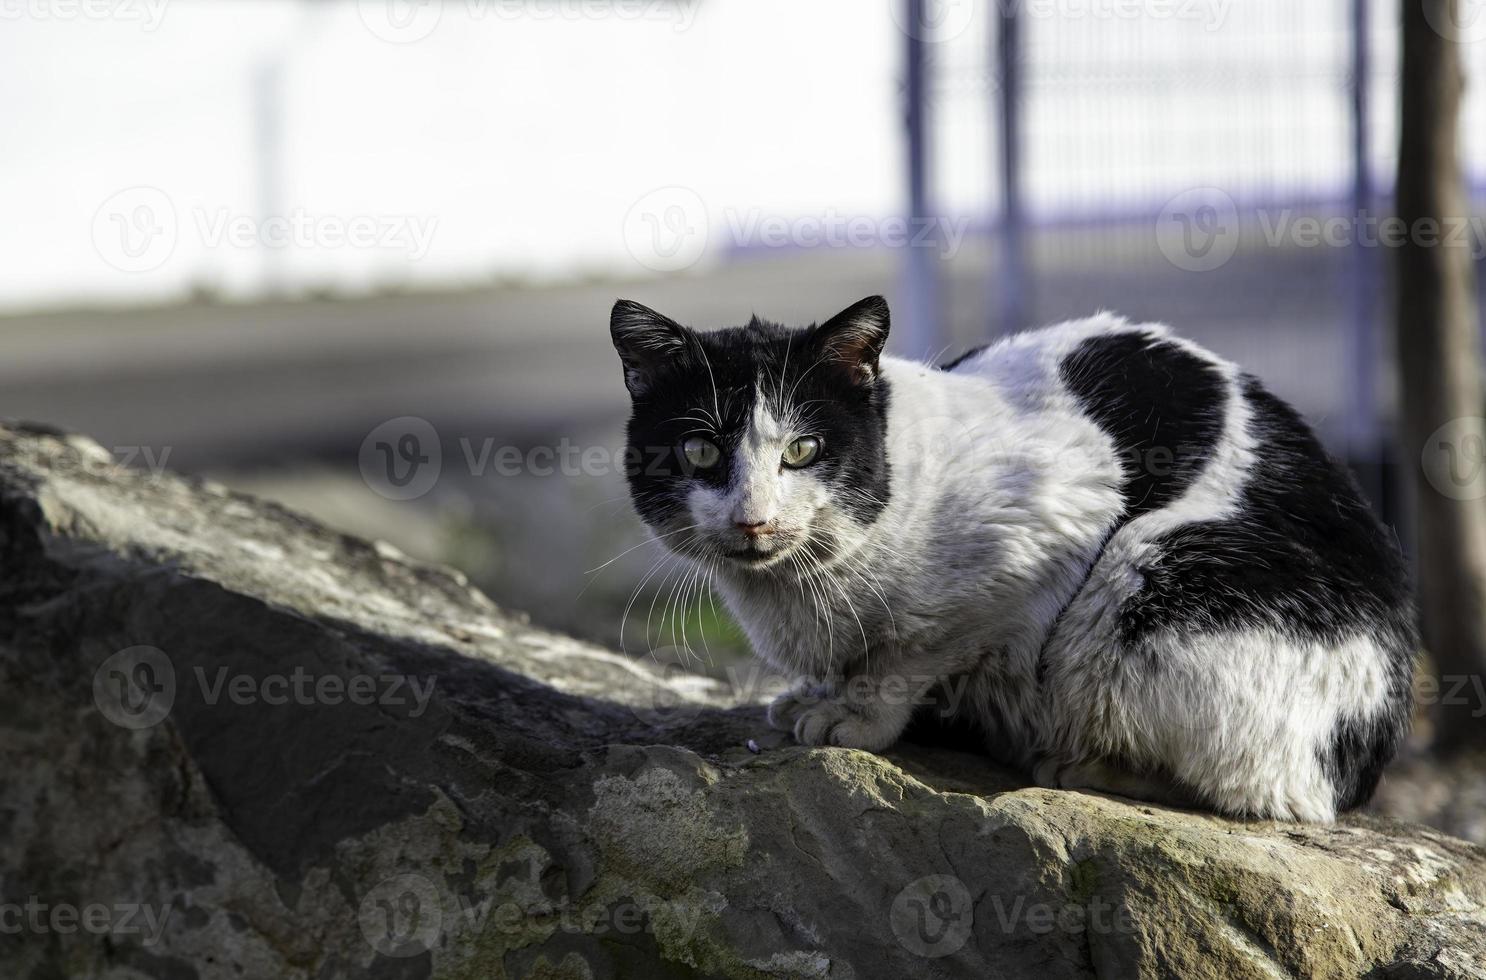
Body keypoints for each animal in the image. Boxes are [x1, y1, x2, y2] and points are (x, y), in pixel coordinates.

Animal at [606, 295, 1414, 826]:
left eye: (803, 450)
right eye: (700, 451)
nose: (754, 518)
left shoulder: (1045, 535)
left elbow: (914, 652)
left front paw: (854, 715)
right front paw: (814, 694)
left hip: (1148, 576)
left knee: (1266, 793)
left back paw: (1078, 765)